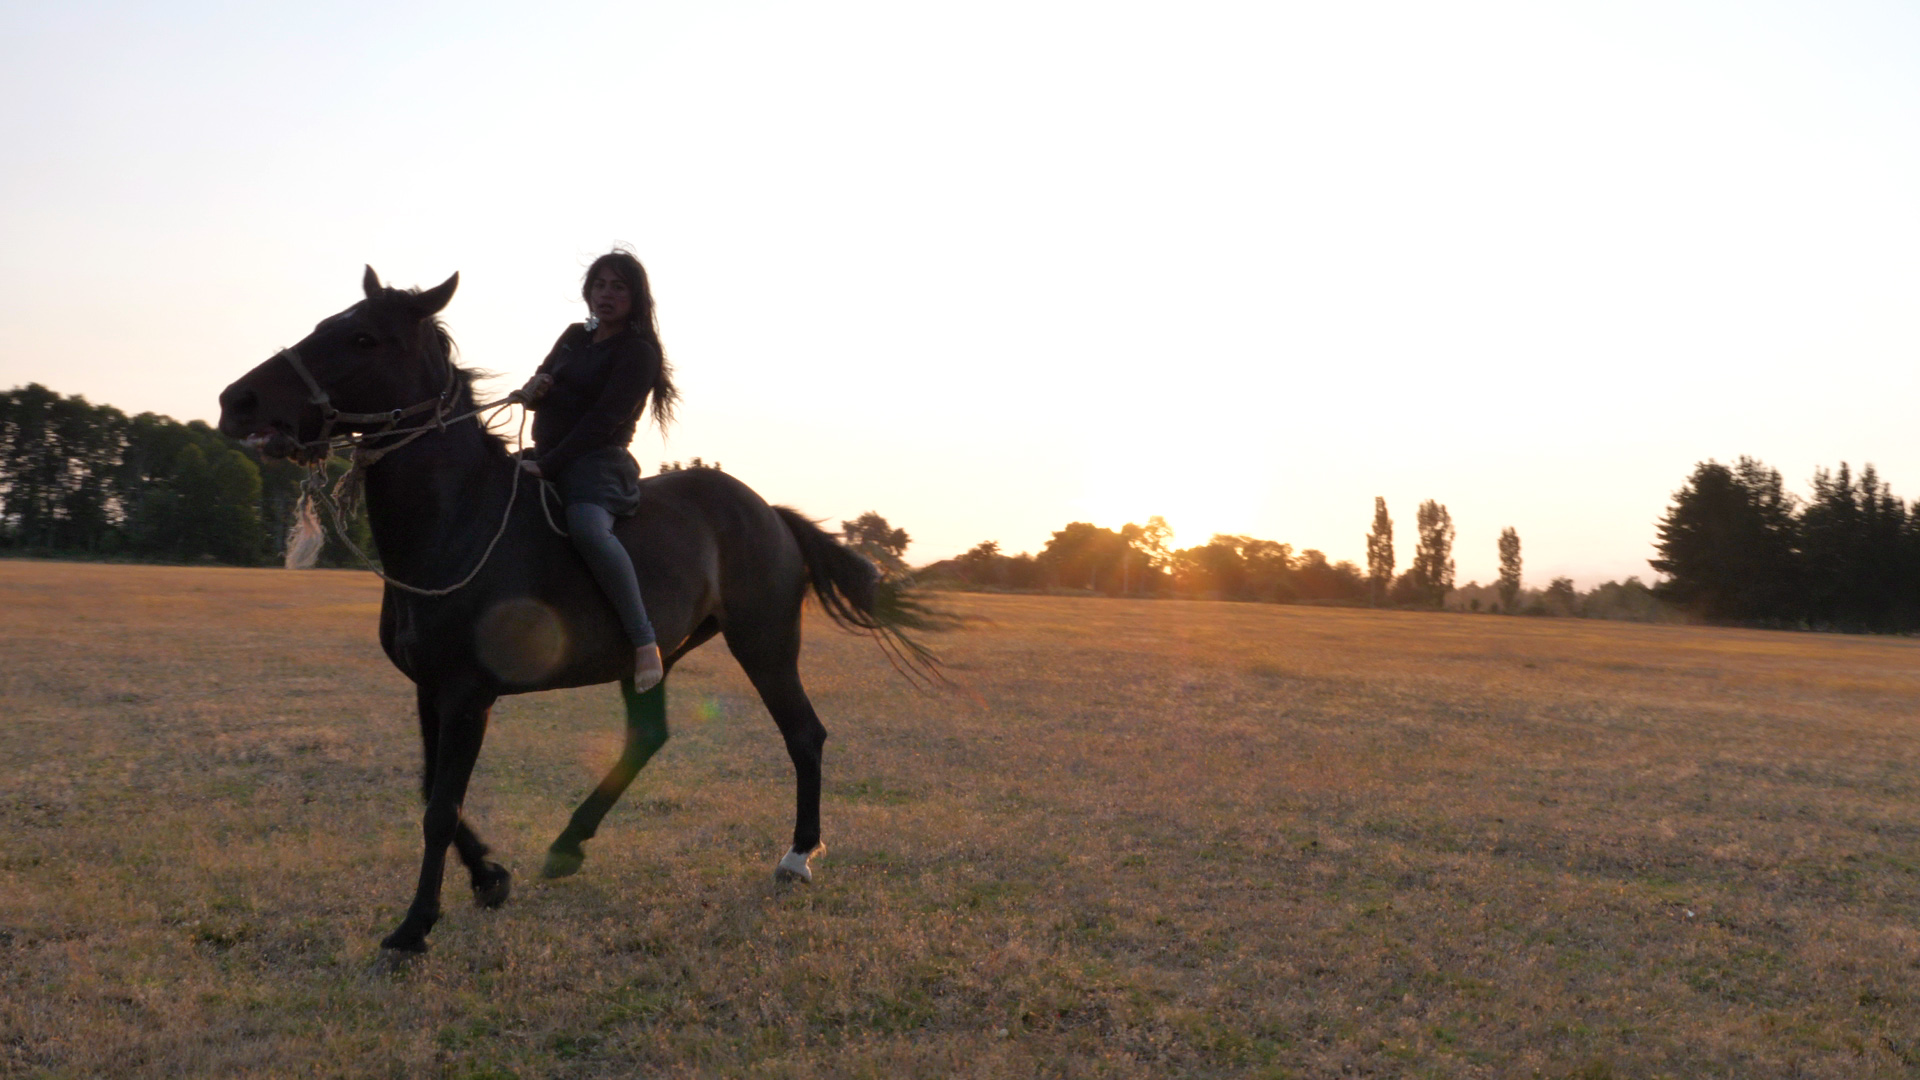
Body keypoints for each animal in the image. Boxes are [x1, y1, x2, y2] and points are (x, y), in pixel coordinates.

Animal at [217, 267, 934, 954]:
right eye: (325, 323)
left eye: (364, 338)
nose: (235, 402)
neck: (459, 520)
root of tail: (770, 513)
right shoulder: (429, 690)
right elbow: (431, 791)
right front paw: (489, 879)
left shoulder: (467, 694)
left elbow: (441, 808)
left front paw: (415, 926)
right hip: (656, 656)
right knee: (648, 737)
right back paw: (568, 844)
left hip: (765, 643)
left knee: (803, 734)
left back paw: (796, 857)